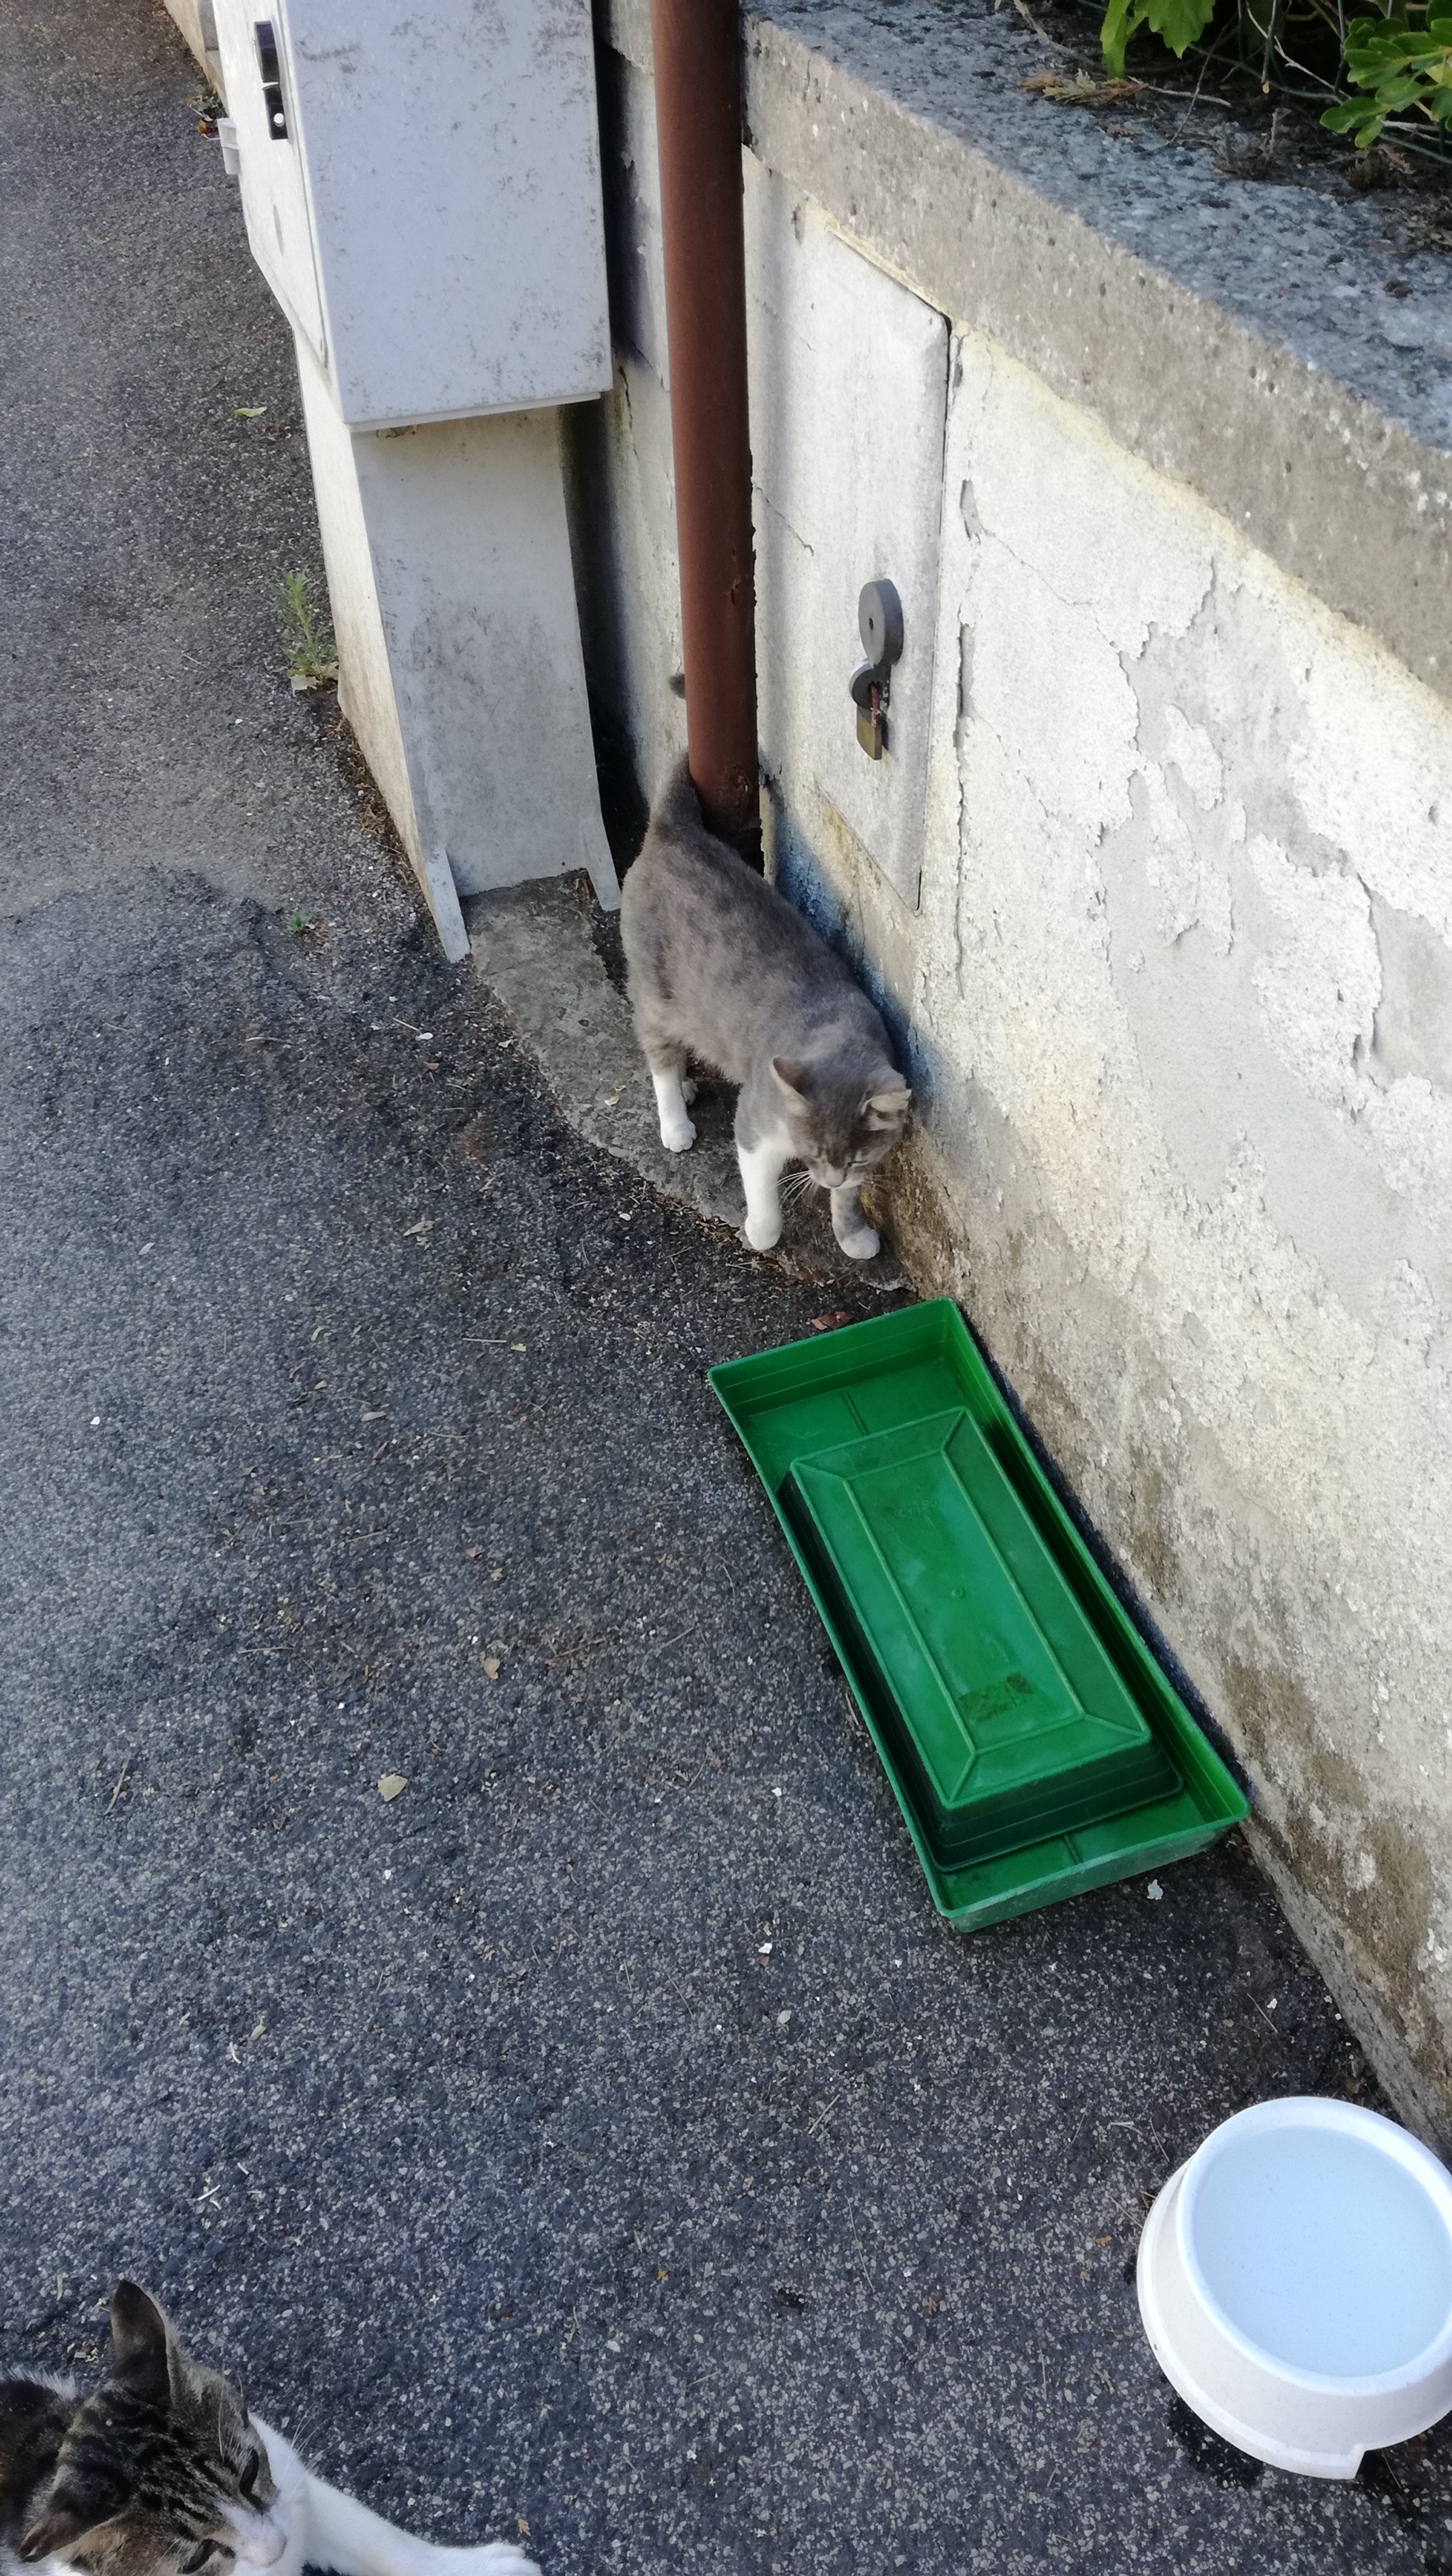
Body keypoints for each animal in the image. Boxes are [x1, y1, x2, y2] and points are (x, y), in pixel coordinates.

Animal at [620, 762, 911, 1259]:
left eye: (855, 1158)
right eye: (813, 1155)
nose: (828, 1179)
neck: (836, 1031)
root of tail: (672, 830)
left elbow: (849, 1198)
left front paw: (852, 1234)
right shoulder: (756, 1122)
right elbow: (760, 1185)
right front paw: (762, 1231)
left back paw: (688, 1086)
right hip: (654, 995)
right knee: (660, 1057)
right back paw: (675, 1119)